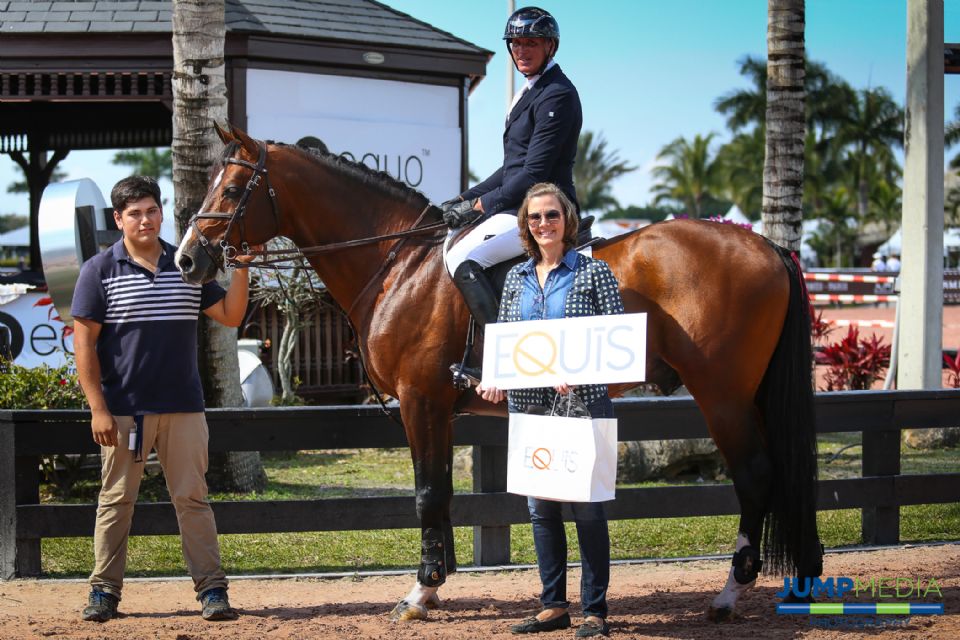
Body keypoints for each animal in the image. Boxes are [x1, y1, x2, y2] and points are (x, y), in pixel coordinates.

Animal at [176, 124, 820, 620]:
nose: (187, 259)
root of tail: (767, 247)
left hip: (723, 395)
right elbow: (436, 491)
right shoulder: (434, 409)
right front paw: (434, 585)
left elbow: (428, 494)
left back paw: (729, 595)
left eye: (232, 188)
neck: (399, 263)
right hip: (747, 396)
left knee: (755, 476)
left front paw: (420, 593)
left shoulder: (421, 400)